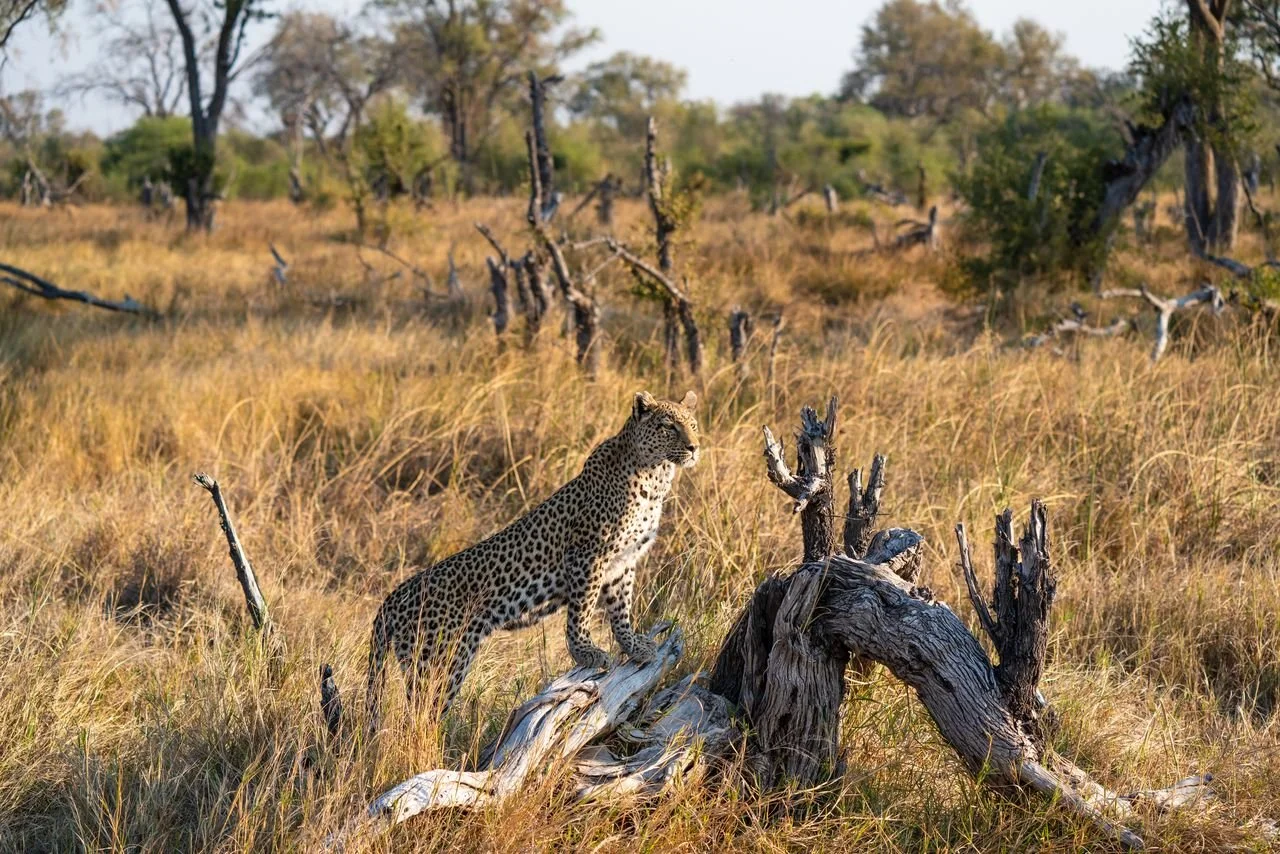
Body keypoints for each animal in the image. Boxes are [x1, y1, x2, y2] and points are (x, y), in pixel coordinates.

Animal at [365, 390, 700, 729]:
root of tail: (392, 599)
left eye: (693, 425)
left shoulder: (623, 562)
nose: (694, 447)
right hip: (438, 661)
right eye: (668, 427)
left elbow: (621, 610)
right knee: (417, 719)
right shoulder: (587, 554)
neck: (655, 477)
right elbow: (582, 610)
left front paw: (634, 646)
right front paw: (585, 652)